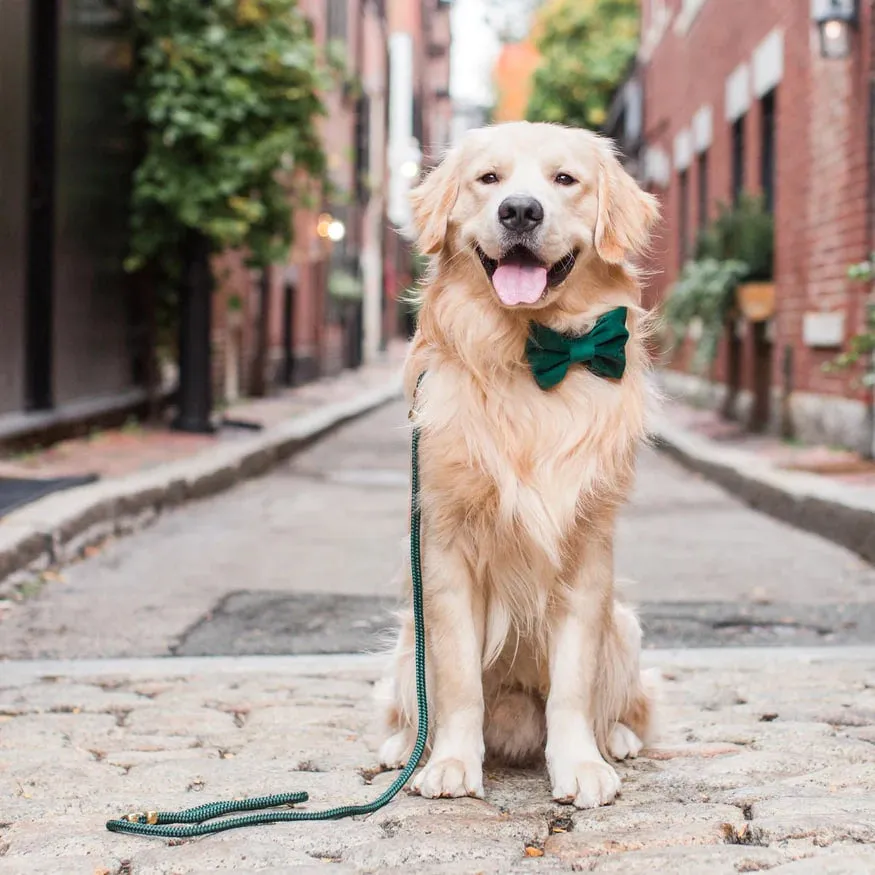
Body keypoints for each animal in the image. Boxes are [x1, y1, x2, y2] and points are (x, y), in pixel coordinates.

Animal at [380, 121, 660, 808]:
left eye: (565, 180)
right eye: (489, 179)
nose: (521, 211)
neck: (532, 354)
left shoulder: (586, 549)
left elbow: (574, 687)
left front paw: (581, 765)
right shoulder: (445, 550)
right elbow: (456, 679)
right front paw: (452, 763)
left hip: (625, 628)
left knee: (621, 704)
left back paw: (618, 739)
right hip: (406, 641)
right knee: (410, 706)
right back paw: (403, 747)